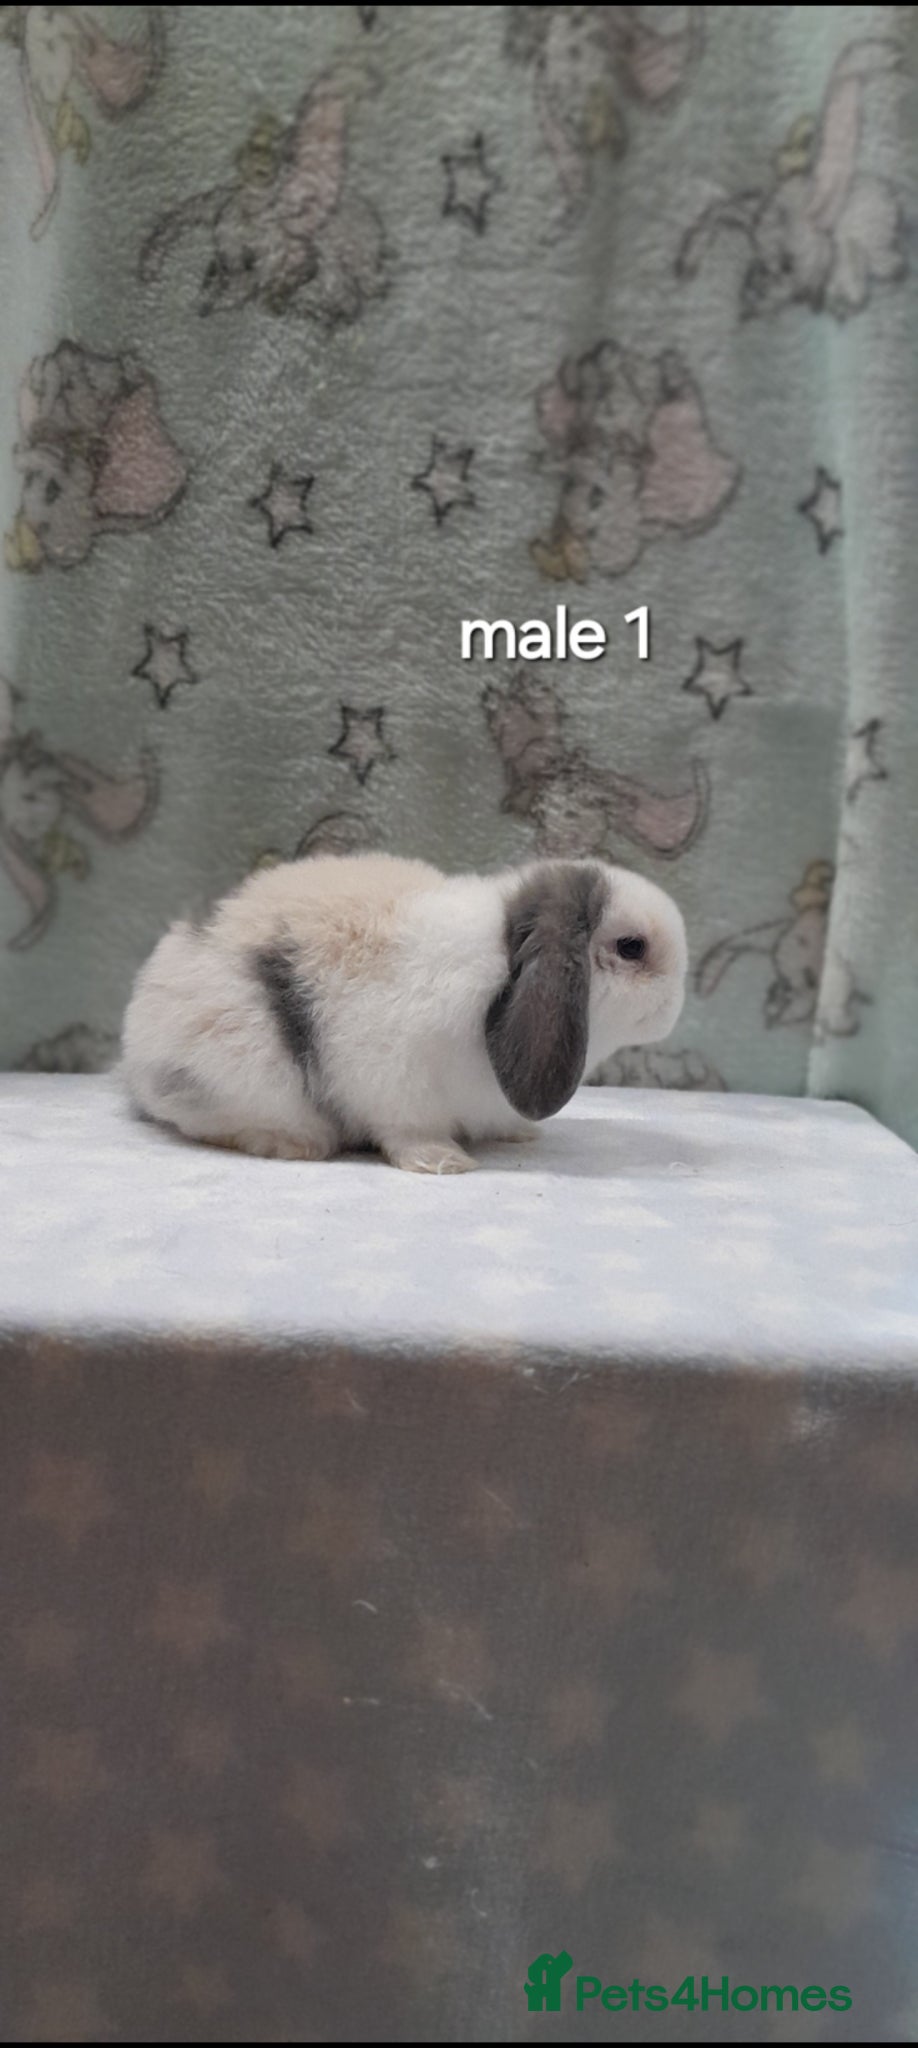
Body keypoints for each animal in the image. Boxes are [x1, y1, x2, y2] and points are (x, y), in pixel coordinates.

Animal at [120, 852, 687, 1173]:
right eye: (632, 947)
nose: (672, 1010)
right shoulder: (396, 1080)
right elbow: (408, 1131)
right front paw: (444, 1163)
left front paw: (519, 1133)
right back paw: (295, 1145)